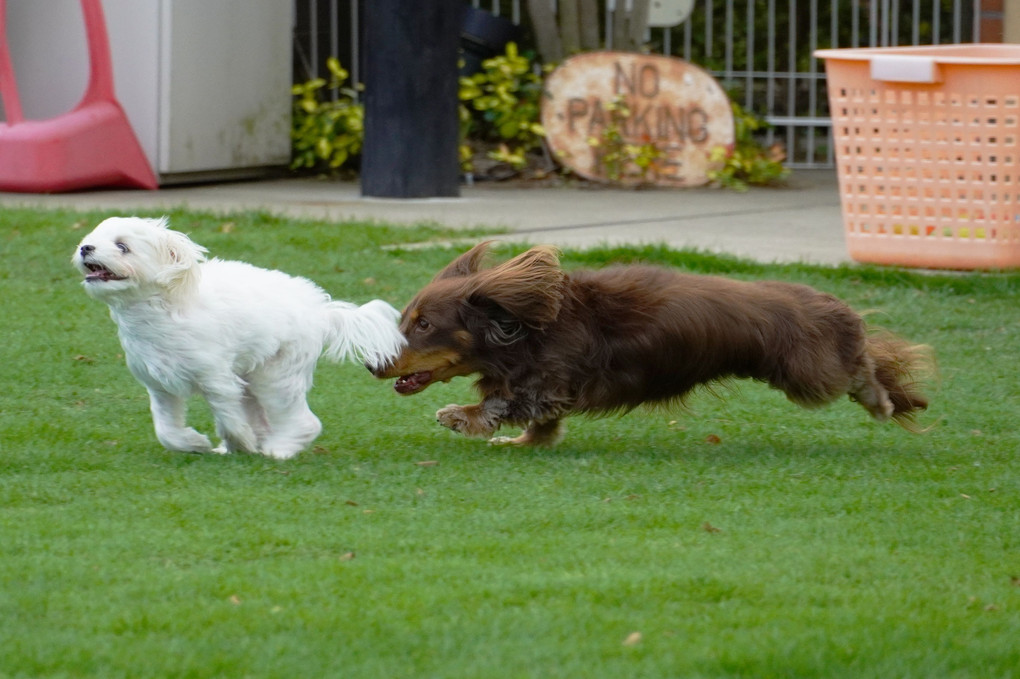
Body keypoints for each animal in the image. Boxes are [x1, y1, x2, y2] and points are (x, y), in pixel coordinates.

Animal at [71, 215, 403, 460]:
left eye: (122, 246)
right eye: (92, 238)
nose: (85, 248)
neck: (166, 308)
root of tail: (320, 310)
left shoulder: (216, 380)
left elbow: (228, 419)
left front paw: (241, 443)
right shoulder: (160, 386)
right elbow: (167, 430)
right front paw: (194, 443)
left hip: (276, 375)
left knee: (304, 421)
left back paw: (279, 449)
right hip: (251, 376)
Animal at [373, 241, 934, 444]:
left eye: (424, 325)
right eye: (406, 319)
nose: (372, 366)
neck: (526, 327)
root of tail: (832, 306)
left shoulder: (546, 379)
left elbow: (503, 402)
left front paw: (460, 417)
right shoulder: (549, 388)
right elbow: (539, 422)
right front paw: (525, 443)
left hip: (809, 374)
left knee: (862, 366)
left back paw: (880, 399)